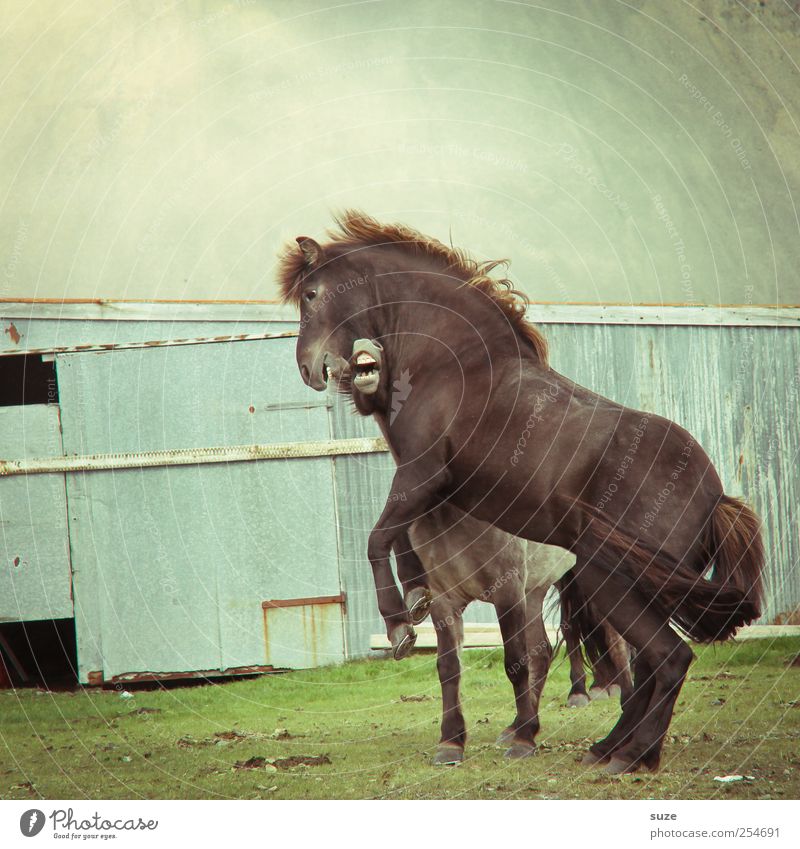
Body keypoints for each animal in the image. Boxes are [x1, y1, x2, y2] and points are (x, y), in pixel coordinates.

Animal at [278, 209, 764, 772]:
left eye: (312, 294)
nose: (308, 368)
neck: (455, 365)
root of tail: (715, 498)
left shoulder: (422, 474)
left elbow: (377, 539)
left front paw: (398, 624)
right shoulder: (426, 487)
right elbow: (399, 544)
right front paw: (416, 599)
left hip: (608, 582)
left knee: (667, 658)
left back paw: (626, 755)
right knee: (648, 663)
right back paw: (614, 749)